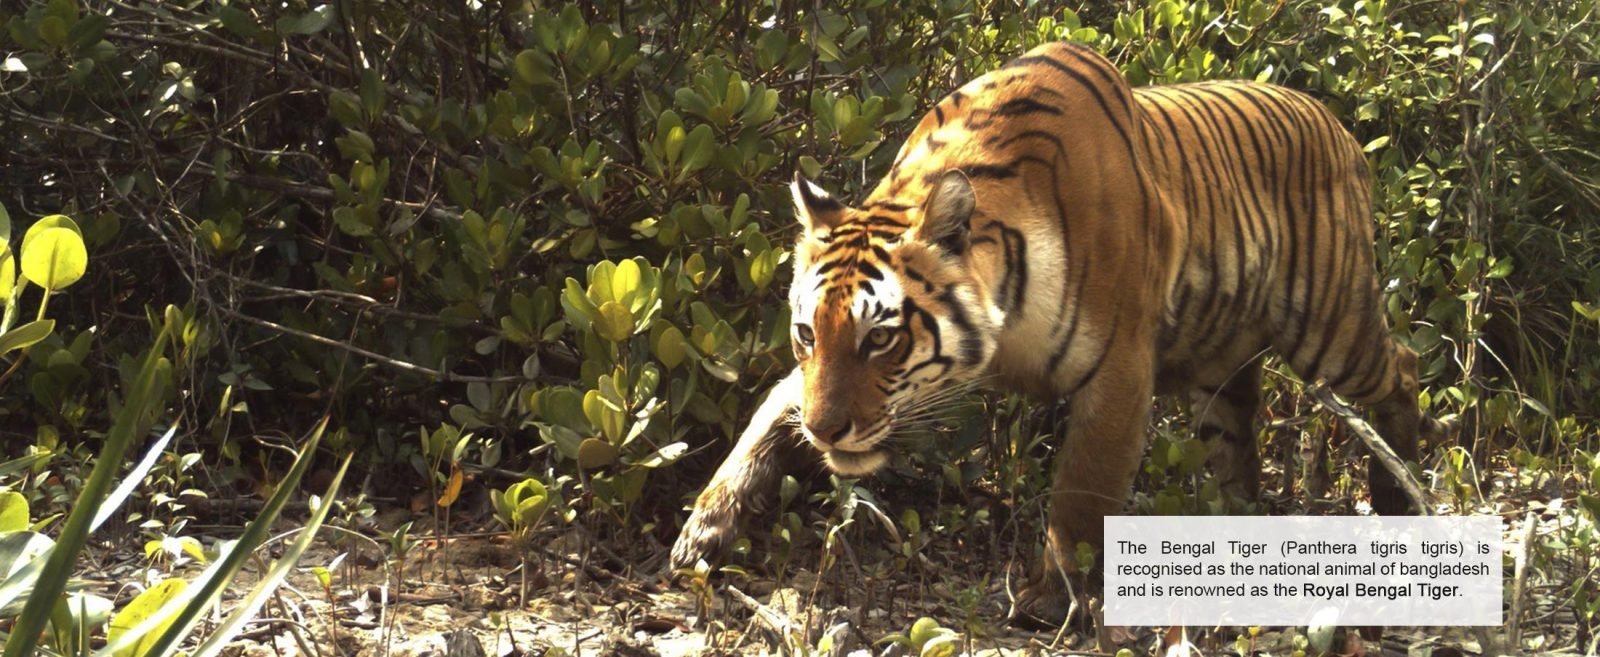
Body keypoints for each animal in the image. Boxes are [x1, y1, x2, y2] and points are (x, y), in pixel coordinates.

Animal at [668, 41, 1449, 623]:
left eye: (880, 340)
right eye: (807, 334)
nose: (827, 432)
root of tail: (1337, 123)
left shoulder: (1120, 371)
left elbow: (1080, 492)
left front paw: (1051, 598)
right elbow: (769, 412)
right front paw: (704, 525)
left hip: (1332, 326)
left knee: (1405, 370)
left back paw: (1396, 498)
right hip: (1217, 374)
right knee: (1237, 449)